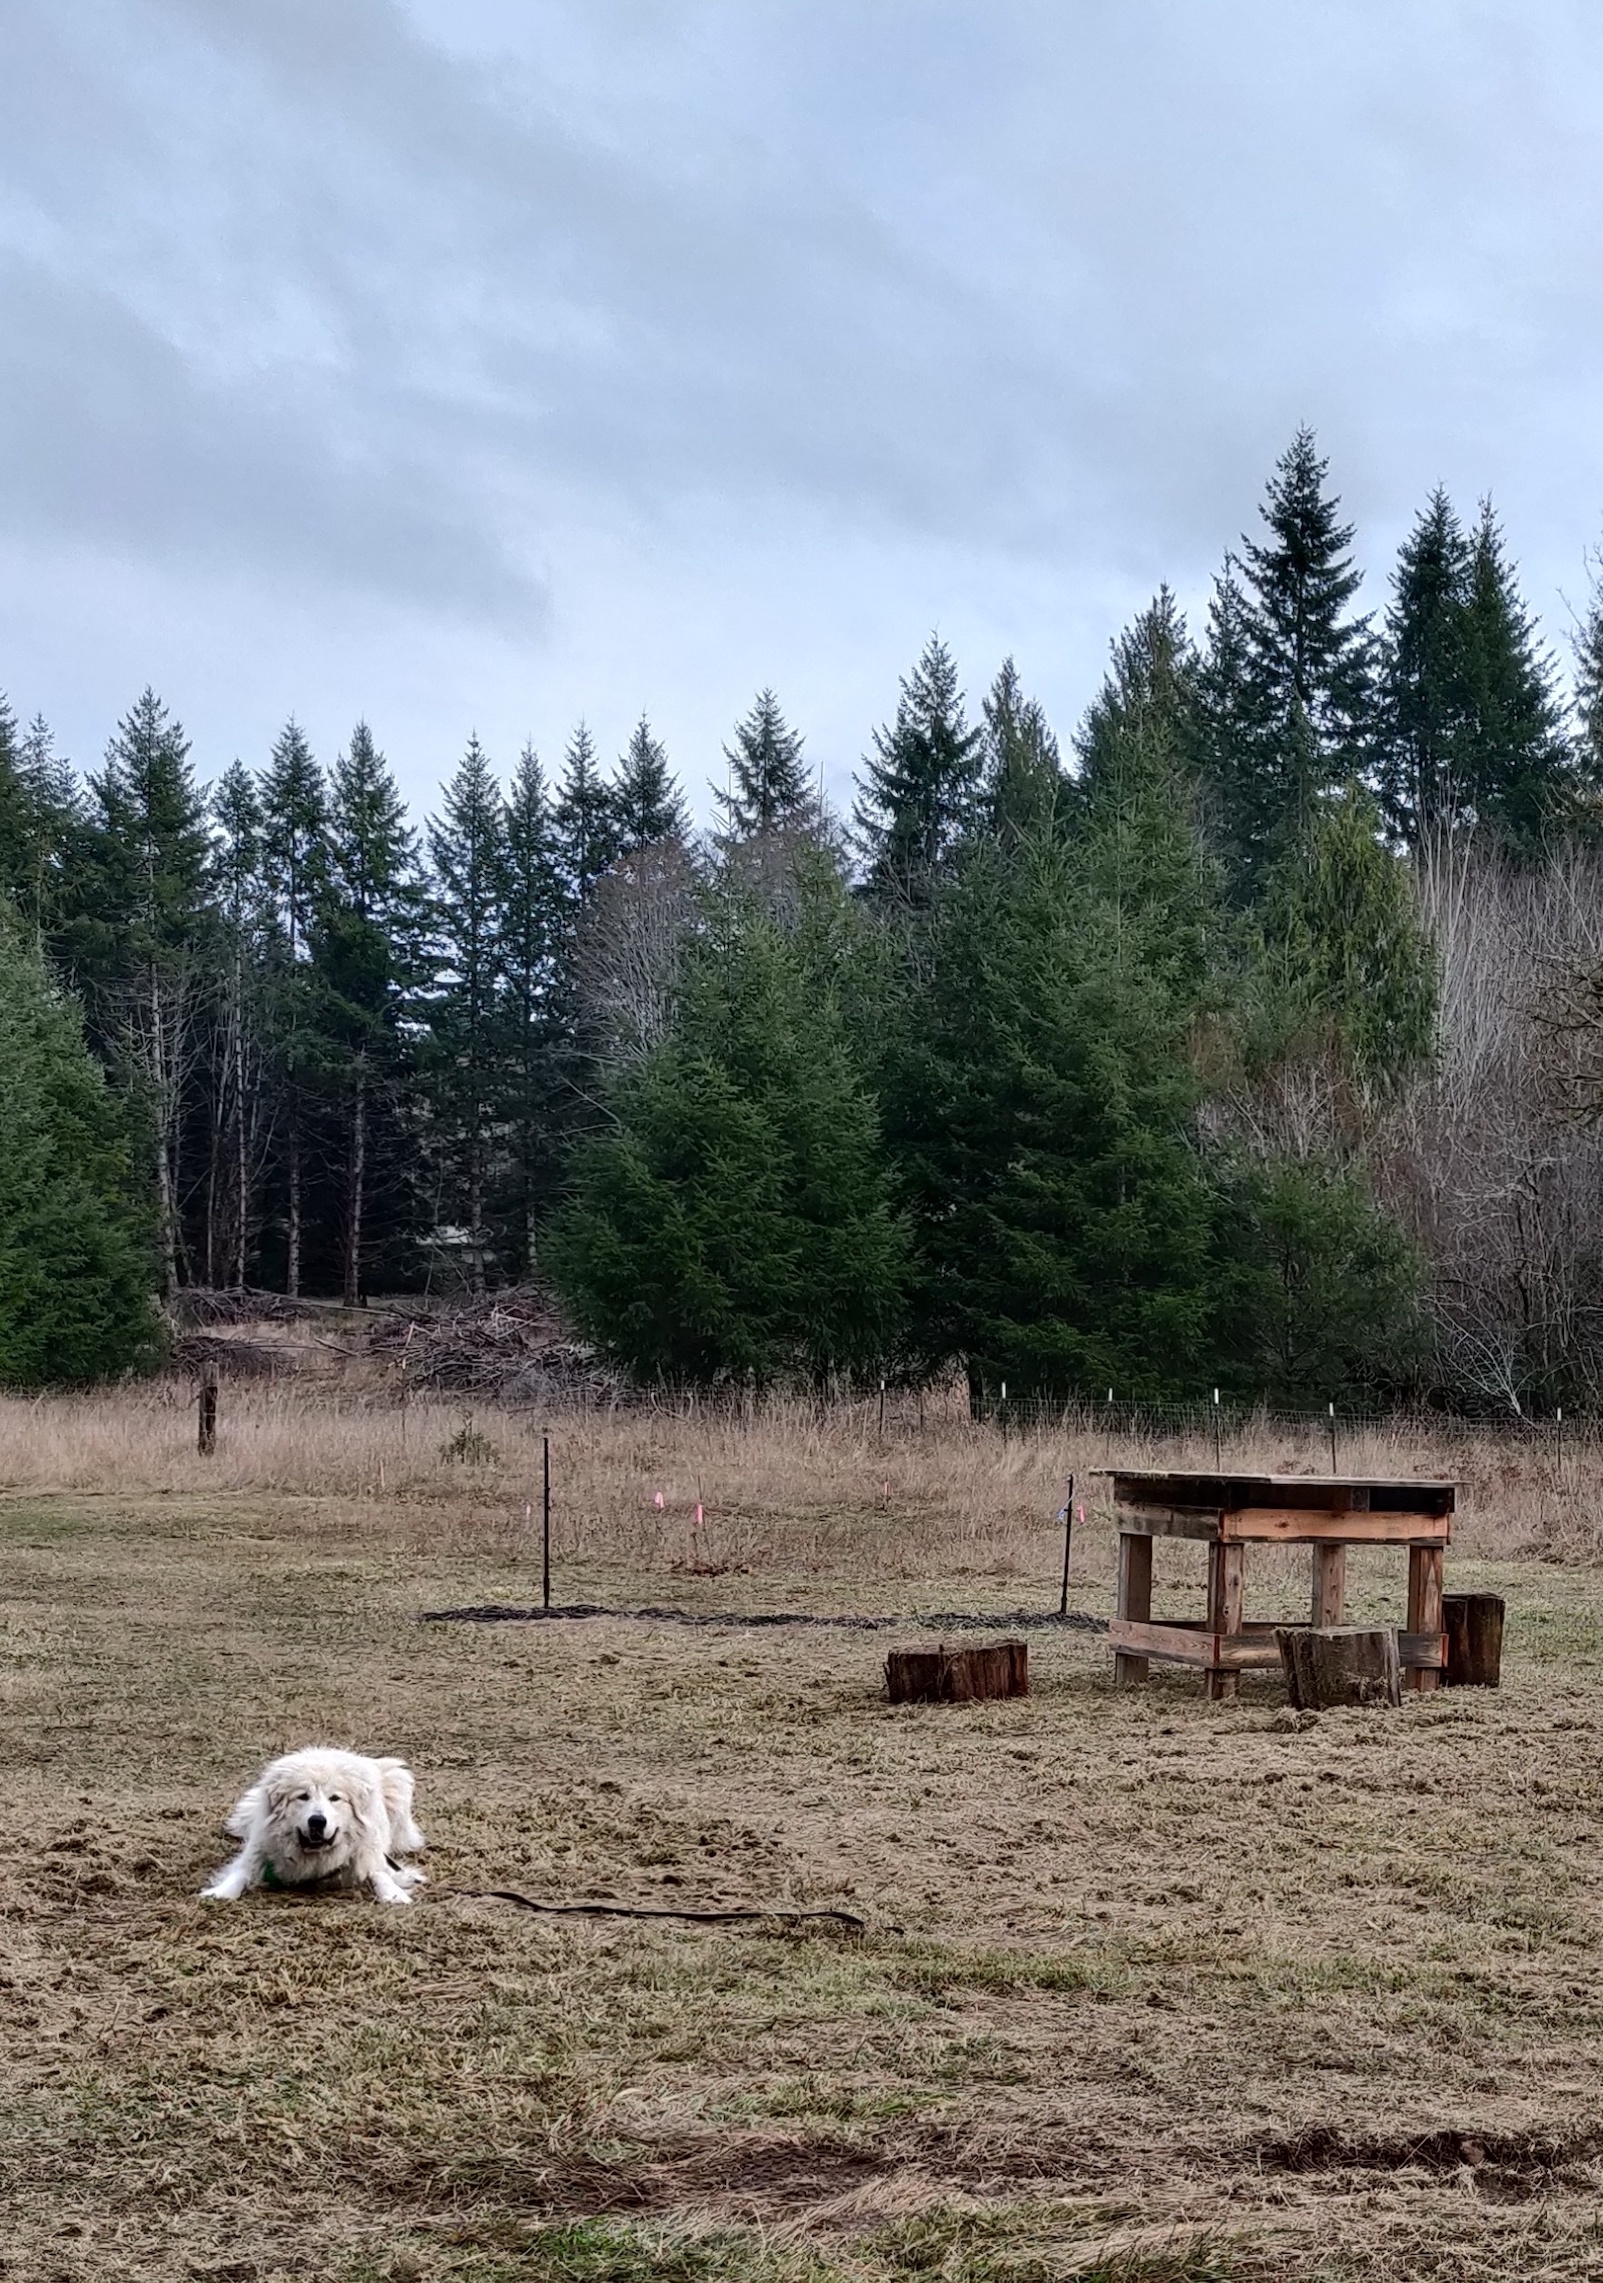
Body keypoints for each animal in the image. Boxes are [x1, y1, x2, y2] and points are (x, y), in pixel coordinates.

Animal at [202, 1744, 427, 1908]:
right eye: (303, 1796)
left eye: (335, 1798)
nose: (317, 1821)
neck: (316, 1858)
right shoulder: (259, 1848)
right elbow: (241, 1872)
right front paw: (220, 1892)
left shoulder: (369, 1852)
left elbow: (380, 1872)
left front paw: (394, 1893)